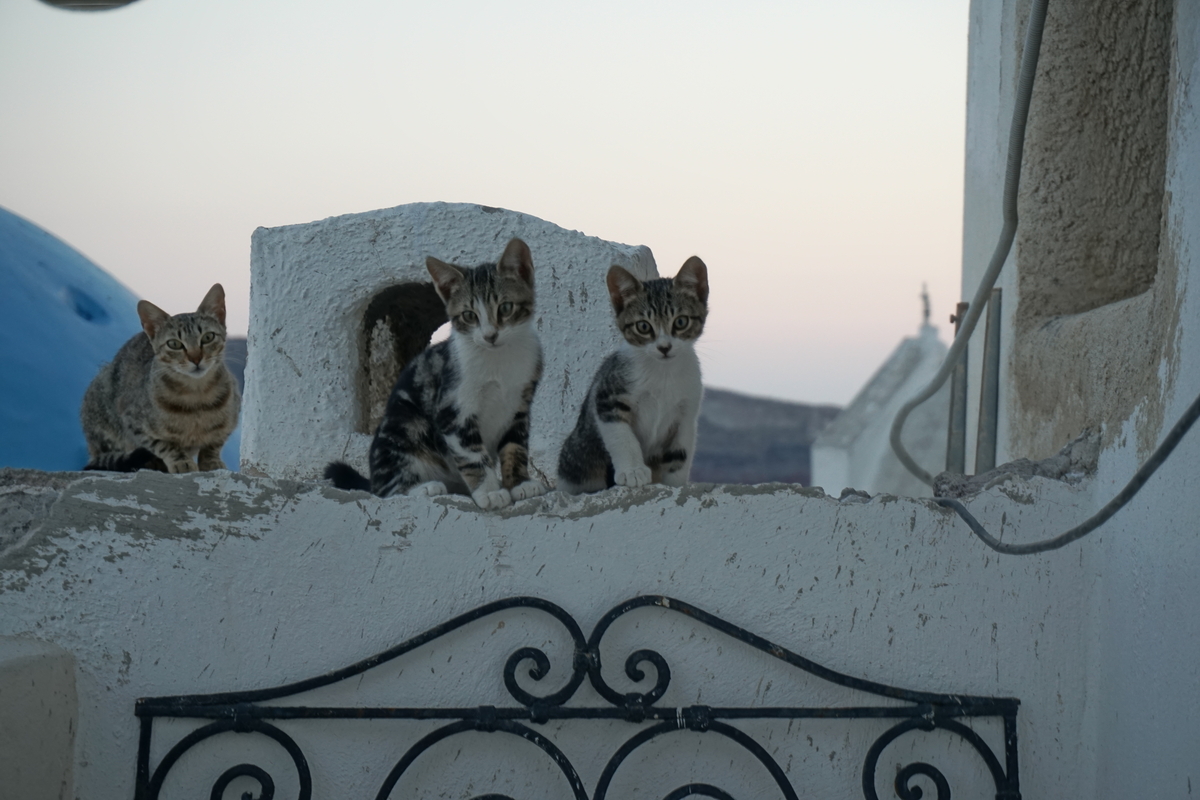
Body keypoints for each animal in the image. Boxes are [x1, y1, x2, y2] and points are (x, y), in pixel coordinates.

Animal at [80, 284, 241, 474]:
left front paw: (211, 461)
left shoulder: (231, 419)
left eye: (208, 337)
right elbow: (165, 445)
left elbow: (214, 444)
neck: (197, 398)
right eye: (174, 344)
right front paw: (181, 461)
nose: (196, 358)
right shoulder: (134, 423)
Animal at [328, 239, 552, 513]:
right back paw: (422, 487)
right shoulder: (452, 408)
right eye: (469, 315)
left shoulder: (520, 404)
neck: (498, 360)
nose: (490, 336)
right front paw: (490, 492)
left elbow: (516, 446)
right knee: (385, 491)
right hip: (403, 425)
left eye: (506, 308)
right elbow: (473, 455)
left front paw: (520, 484)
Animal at [556, 256, 705, 494]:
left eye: (681, 322)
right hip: (578, 453)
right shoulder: (607, 396)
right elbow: (622, 436)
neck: (662, 373)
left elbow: (679, 454)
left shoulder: (686, 414)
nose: (664, 347)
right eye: (643, 326)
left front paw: (674, 485)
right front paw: (633, 471)